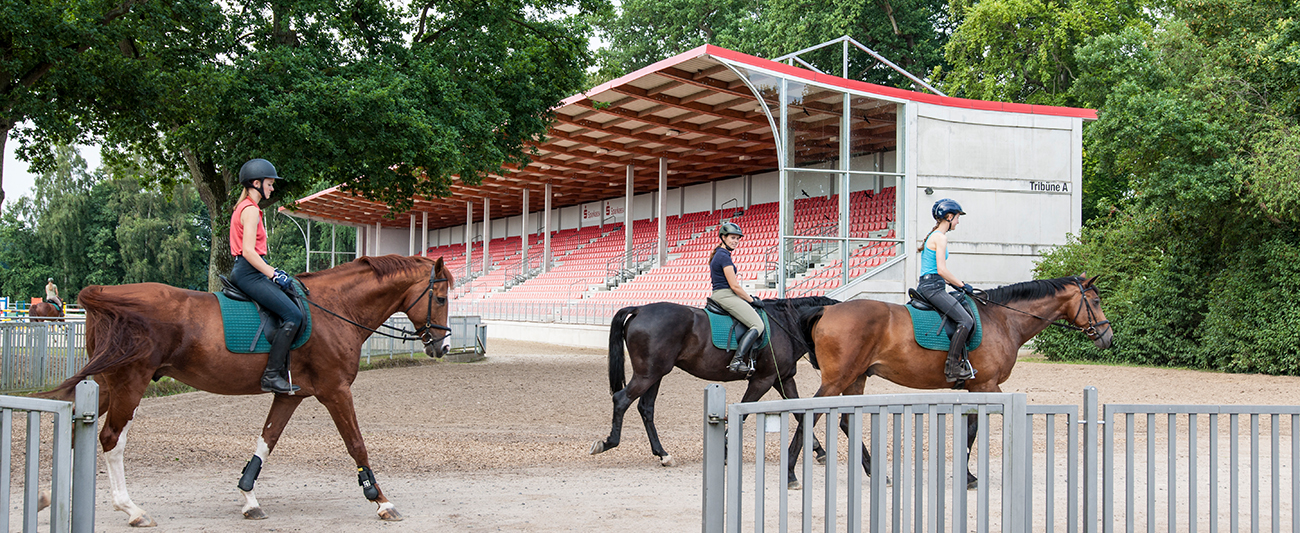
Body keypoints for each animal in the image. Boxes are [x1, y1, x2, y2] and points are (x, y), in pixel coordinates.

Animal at [40, 256, 454, 527]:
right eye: (442, 298)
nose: (443, 346)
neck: (334, 309)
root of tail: (109, 295)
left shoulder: (291, 394)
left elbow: (266, 441)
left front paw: (249, 498)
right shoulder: (335, 390)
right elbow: (357, 444)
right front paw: (381, 500)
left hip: (107, 383)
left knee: (77, 426)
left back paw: (47, 496)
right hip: (129, 382)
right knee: (111, 439)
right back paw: (132, 509)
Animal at [590, 297, 832, 486]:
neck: (785, 326)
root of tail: (640, 309)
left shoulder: (783, 380)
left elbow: (801, 413)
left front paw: (819, 450)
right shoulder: (763, 380)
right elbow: (744, 412)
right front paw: (725, 451)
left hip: (655, 375)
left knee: (645, 408)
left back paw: (663, 454)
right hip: (648, 375)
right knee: (622, 399)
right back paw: (608, 442)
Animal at [785, 276, 1112, 488]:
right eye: (1095, 301)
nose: (1107, 337)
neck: (1003, 320)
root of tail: (828, 308)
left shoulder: (978, 389)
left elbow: (970, 429)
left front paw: (967, 475)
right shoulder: (987, 386)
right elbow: (975, 430)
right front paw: (970, 477)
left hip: (856, 379)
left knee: (846, 422)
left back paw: (875, 472)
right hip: (838, 379)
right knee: (809, 416)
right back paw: (791, 473)